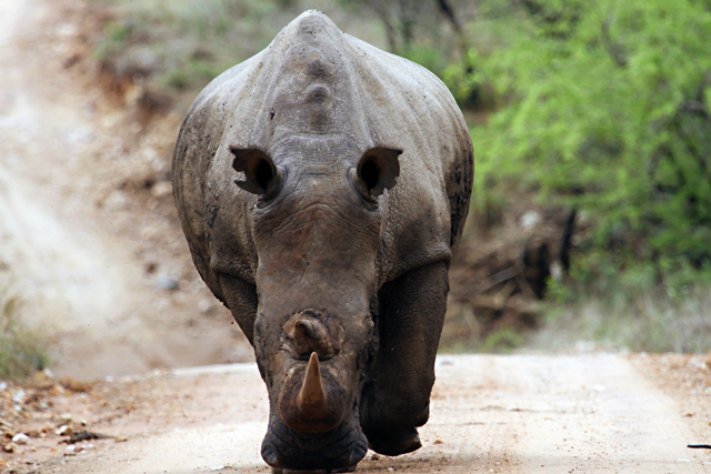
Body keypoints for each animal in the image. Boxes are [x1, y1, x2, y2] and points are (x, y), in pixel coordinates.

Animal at [172, 9, 472, 472]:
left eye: (369, 339)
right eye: (257, 339)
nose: (313, 458)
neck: (318, 158)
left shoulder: (421, 250)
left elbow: (409, 360)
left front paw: (395, 438)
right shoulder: (233, 263)